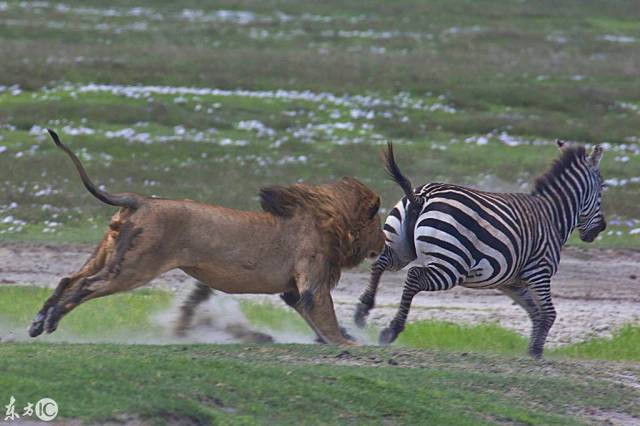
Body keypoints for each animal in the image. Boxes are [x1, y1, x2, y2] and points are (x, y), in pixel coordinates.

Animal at [27, 130, 382, 346]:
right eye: (380, 224)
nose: (383, 245)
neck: (331, 221)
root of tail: (140, 200)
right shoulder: (311, 282)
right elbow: (325, 314)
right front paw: (347, 343)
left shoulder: (292, 291)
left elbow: (314, 318)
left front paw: (341, 338)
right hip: (133, 267)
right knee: (86, 285)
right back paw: (51, 322)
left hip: (110, 253)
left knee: (68, 279)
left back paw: (37, 322)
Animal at [356, 141, 604, 358]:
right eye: (602, 189)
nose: (601, 228)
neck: (553, 216)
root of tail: (421, 196)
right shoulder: (539, 272)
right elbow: (549, 314)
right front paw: (536, 352)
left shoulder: (512, 282)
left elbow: (535, 312)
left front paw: (532, 350)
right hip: (452, 266)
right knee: (414, 276)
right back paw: (392, 329)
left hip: (401, 248)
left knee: (380, 263)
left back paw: (362, 311)